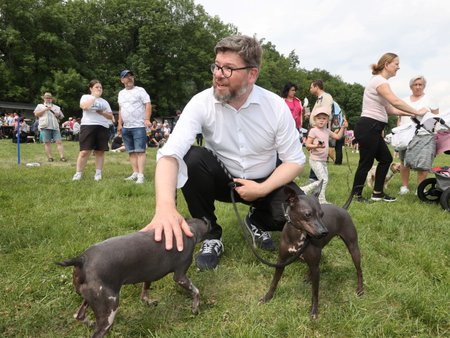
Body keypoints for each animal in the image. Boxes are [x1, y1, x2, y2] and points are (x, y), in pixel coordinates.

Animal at [258, 186, 364, 318]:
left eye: (322, 214)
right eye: (307, 214)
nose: (325, 232)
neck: (299, 235)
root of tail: (343, 209)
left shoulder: (315, 268)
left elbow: (315, 292)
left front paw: (314, 311)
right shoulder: (281, 261)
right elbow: (274, 281)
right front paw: (267, 297)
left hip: (353, 248)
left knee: (359, 270)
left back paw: (360, 289)